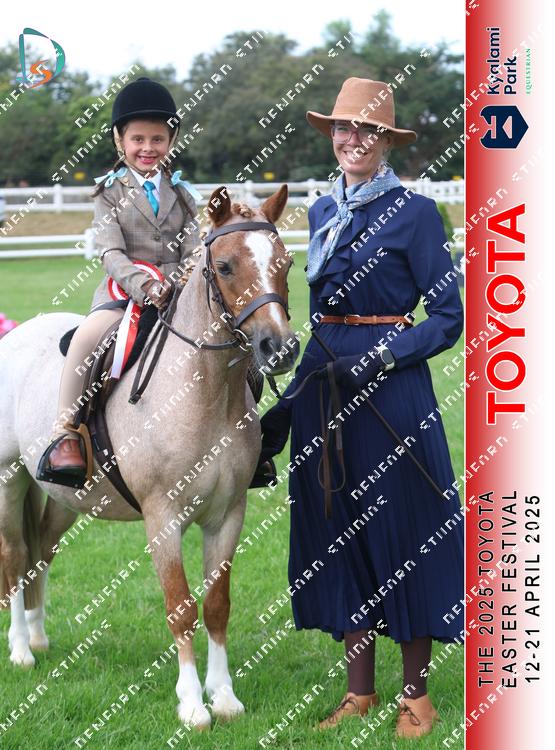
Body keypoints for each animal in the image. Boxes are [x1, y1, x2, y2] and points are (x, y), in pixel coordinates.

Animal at [0, 184, 299, 729]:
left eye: (285, 263)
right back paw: (20, 651)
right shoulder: (163, 518)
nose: (281, 348)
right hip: (9, 478)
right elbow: (181, 606)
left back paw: (38, 636)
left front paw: (224, 697)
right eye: (225, 266)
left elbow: (217, 604)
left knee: (41, 553)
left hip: (64, 496)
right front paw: (193, 705)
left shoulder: (228, 515)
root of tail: (19, 332)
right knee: (14, 558)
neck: (203, 393)